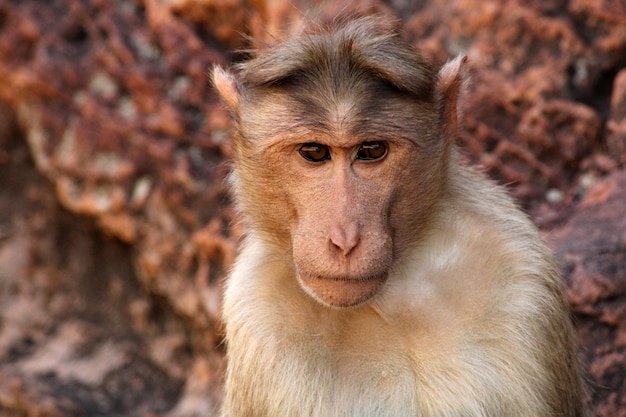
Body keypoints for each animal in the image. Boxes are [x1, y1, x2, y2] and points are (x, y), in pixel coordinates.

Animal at [212, 15, 588, 416]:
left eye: (372, 150)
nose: (345, 239)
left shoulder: (522, 275)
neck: (392, 297)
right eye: (314, 152)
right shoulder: (256, 307)